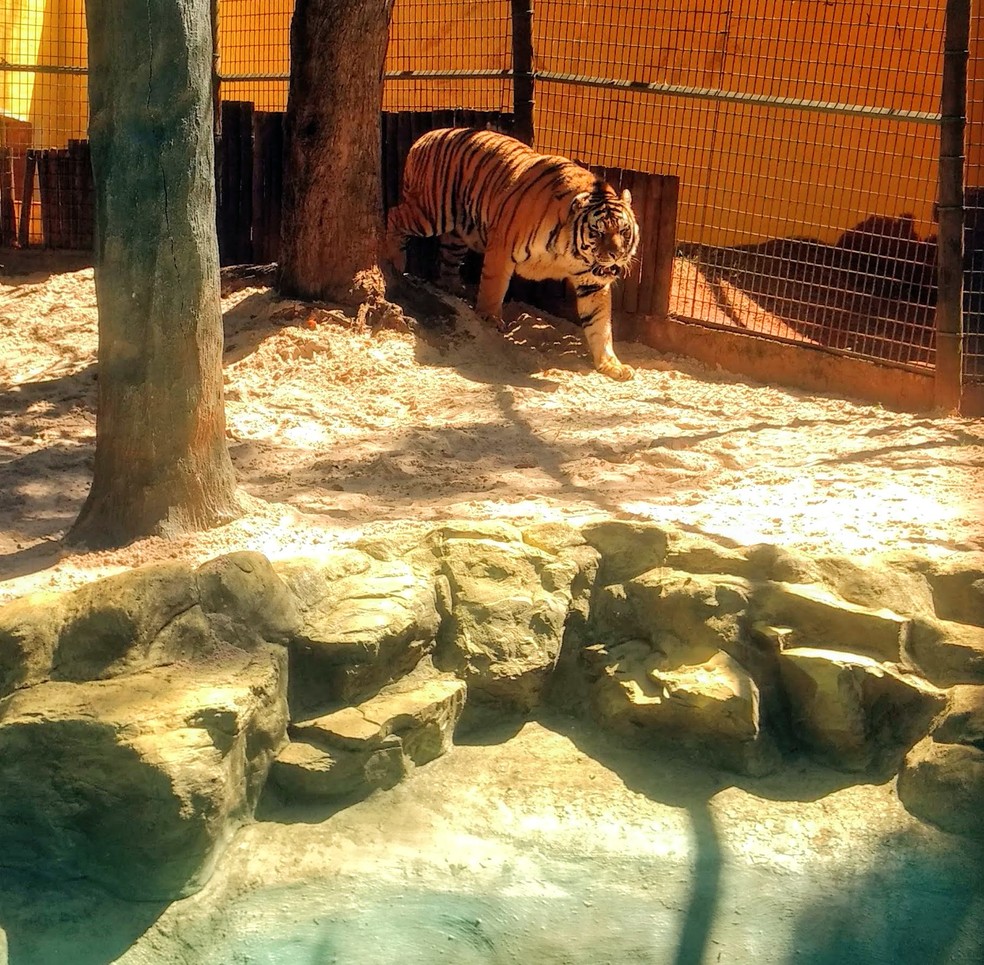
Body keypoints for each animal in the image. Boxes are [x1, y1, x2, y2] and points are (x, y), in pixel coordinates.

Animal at [385, 127, 640, 381]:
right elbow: (493, 288)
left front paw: (612, 364)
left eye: (623, 231)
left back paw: (455, 288)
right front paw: (489, 319)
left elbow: (600, 323)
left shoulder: (592, 280)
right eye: (597, 232)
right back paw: (395, 262)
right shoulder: (501, 248)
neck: (569, 252)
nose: (616, 255)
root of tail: (424, 137)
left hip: (457, 233)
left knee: (447, 261)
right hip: (431, 213)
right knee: (394, 215)